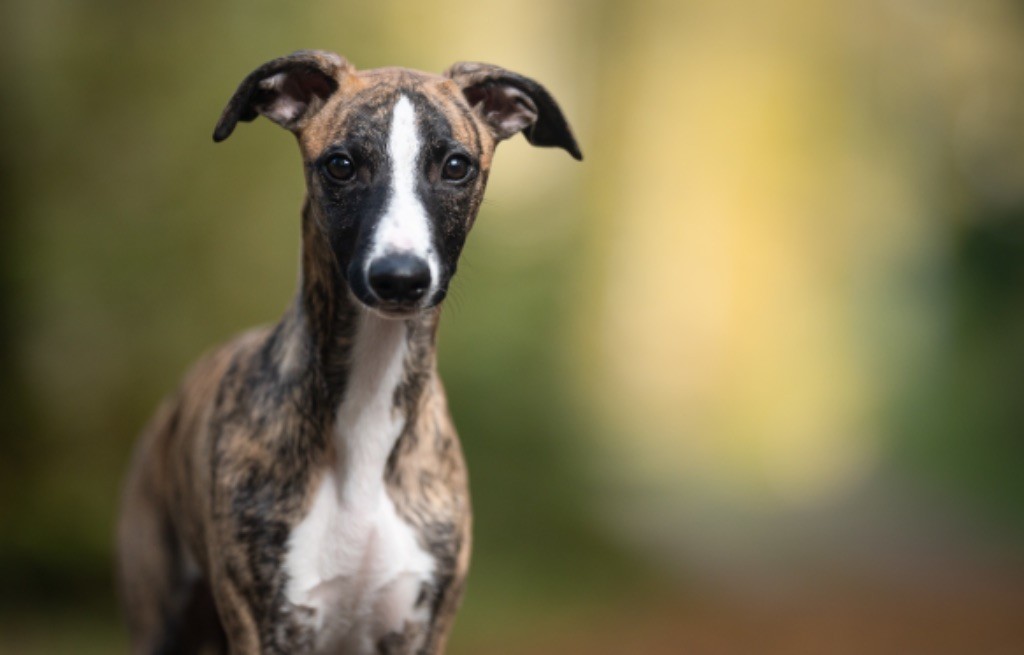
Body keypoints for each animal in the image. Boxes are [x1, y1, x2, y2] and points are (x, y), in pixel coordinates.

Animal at [116, 51, 581, 655]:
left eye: (456, 165)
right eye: (340, 165)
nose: (400, 279)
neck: (368, 408)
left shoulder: (418, 627)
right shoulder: (268, 626)